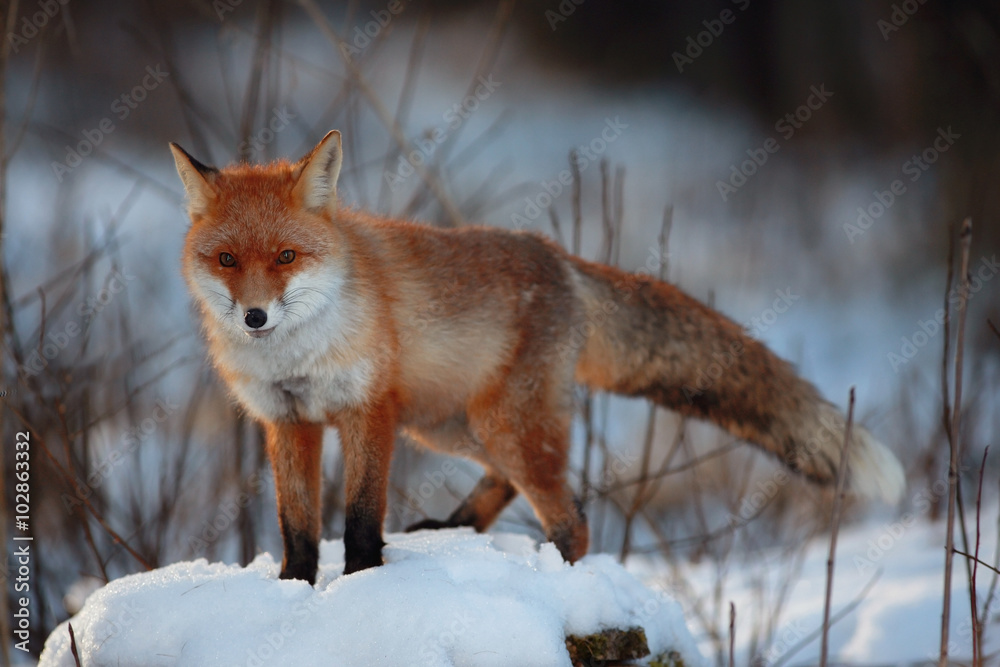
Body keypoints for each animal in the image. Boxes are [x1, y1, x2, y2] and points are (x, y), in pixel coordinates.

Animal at [170, 130, 904, 584]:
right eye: (227, 259)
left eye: (286, 256)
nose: (255, 316)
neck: (296, 354)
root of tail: (561, 259)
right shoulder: (287, 420)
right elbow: (297, 526)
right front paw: (293, 590)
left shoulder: (367, 411)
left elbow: (357, 520)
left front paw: (360, 583)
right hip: (452, 424)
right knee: (508, 482)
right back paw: (459, 526)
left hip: (498, 424)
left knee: (573, 518)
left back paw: (560, 574)